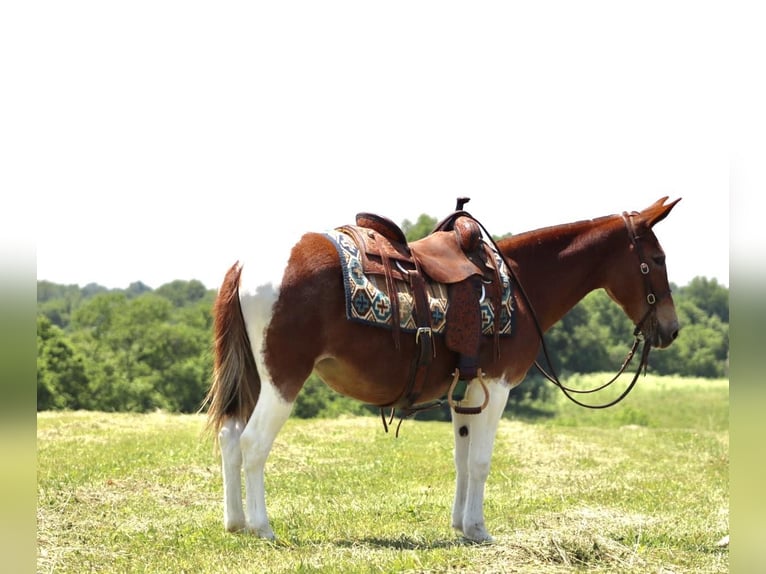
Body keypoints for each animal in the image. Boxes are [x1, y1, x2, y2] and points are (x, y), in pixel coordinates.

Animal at [202, 196, 684, 544]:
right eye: (658, 259)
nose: (672, 329)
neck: (519, 283)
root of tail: (247, 265)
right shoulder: (497, 387)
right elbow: (482, 462)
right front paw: (479, 530)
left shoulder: (466, 394)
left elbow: (462, 458)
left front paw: (460, 526)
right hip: (282, 379)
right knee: (252, 442)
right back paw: (262, 527)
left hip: (254, 377)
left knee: (229, 437)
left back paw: (235, 522)